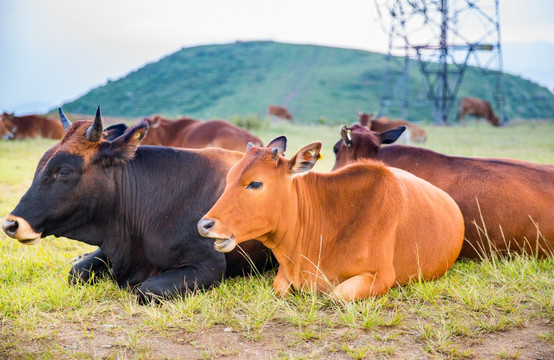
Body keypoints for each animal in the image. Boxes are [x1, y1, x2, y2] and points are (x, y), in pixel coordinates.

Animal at [196, 136, 464, 300]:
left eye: (255, 183)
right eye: (228, 178)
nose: (205, 224)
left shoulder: (380, 276)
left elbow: (336, 295)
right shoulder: (284, 275)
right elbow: (280, 288)